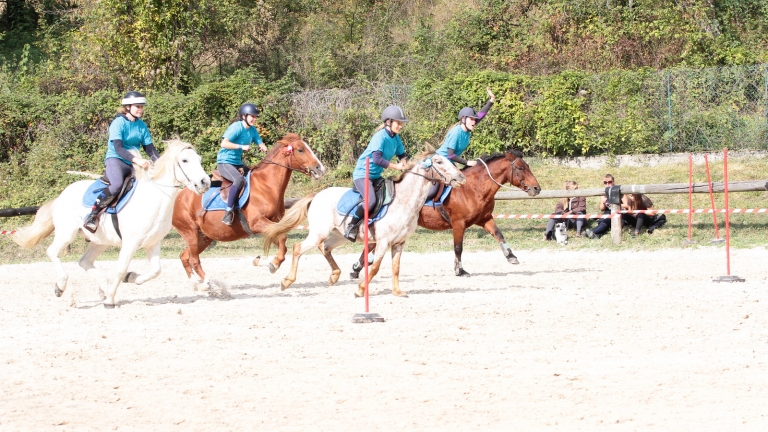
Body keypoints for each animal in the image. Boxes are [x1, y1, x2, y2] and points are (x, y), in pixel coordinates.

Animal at [15, 138, 212, 308]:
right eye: (185, 160)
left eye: (199, 159)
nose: (205, 182)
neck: (153, 199)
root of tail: (62, 195)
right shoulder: (130, 243)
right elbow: (120, 269)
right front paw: (110, 299)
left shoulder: (153, 243)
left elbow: (156, 270)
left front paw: (131, 277)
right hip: (66, 234)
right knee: (52, 252)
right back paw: (61, 286)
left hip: (100, 241)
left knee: (84, 261)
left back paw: (103, 288)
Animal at [172, 133, 326, 286]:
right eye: (300, 150)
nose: (320, 169)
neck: (266, 186)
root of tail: (177, 198)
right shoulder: (257, 223)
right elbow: (283, 239)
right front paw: (273, 264)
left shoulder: (274, 225)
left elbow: (282, 242)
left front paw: (267, 262)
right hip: (190, 232)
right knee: (193, 259)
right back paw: (208, 285)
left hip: (205, 237)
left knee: (184, 256)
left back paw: (197, 285)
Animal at [264, 148, 464, 296]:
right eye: (439, 162)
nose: (461, 178)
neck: (404, 201)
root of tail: (317, 195)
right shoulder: (383, 242)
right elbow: (375, 267)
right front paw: (360, 289)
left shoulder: (399, 243)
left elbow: (396, 268)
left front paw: (397, 292)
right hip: (318, 233)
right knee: (298, 248)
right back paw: (286, 281)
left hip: (340, 235)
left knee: (325, 247)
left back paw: (334, 276)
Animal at [352, 148, 544, 276]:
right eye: (521, 168)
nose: (537, 188)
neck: (474, 188)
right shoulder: (459, 223)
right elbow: (458, 247)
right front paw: (459, 269)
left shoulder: (485, 219)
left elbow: (499, 234)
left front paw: (511, 256)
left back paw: (358, 268)